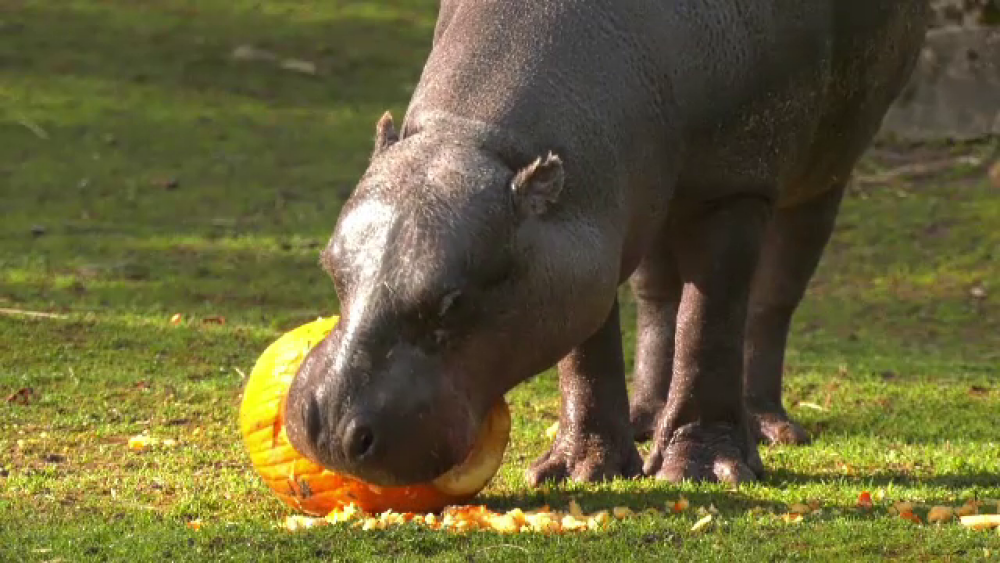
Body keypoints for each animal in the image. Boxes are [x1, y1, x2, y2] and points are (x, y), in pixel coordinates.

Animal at [282, 0, 928, 486]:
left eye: (453, 302)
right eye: (330, 267)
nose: (328, 427)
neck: (478, 140)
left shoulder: (734, 185)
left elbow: (712, 322)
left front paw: (702, 468)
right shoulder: (587, 223)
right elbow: (589, 345)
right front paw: (581, 470)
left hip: (823, 170)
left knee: (774, 298)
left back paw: (768, 425)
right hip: (652, 202)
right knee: (659, 297)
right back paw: (646, 419)